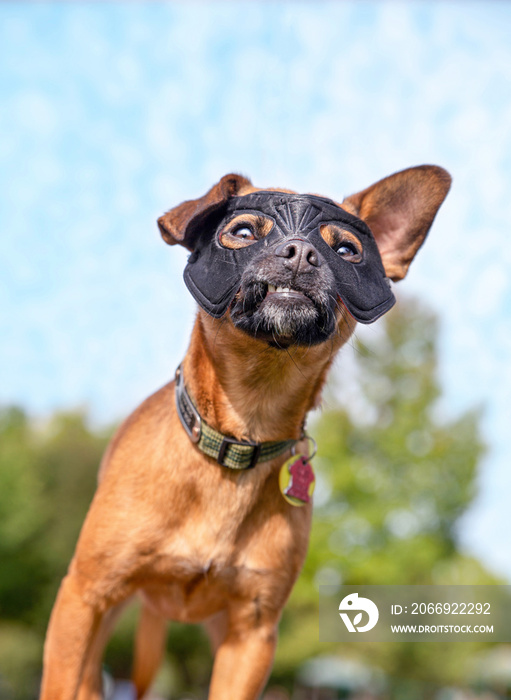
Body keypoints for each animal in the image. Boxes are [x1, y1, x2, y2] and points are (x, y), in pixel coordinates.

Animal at [41, 165, 452, 700]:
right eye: (241, 232)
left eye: (347, 250)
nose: (300, 251)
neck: (242, 432)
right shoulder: (85, 596)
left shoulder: (252, 636)